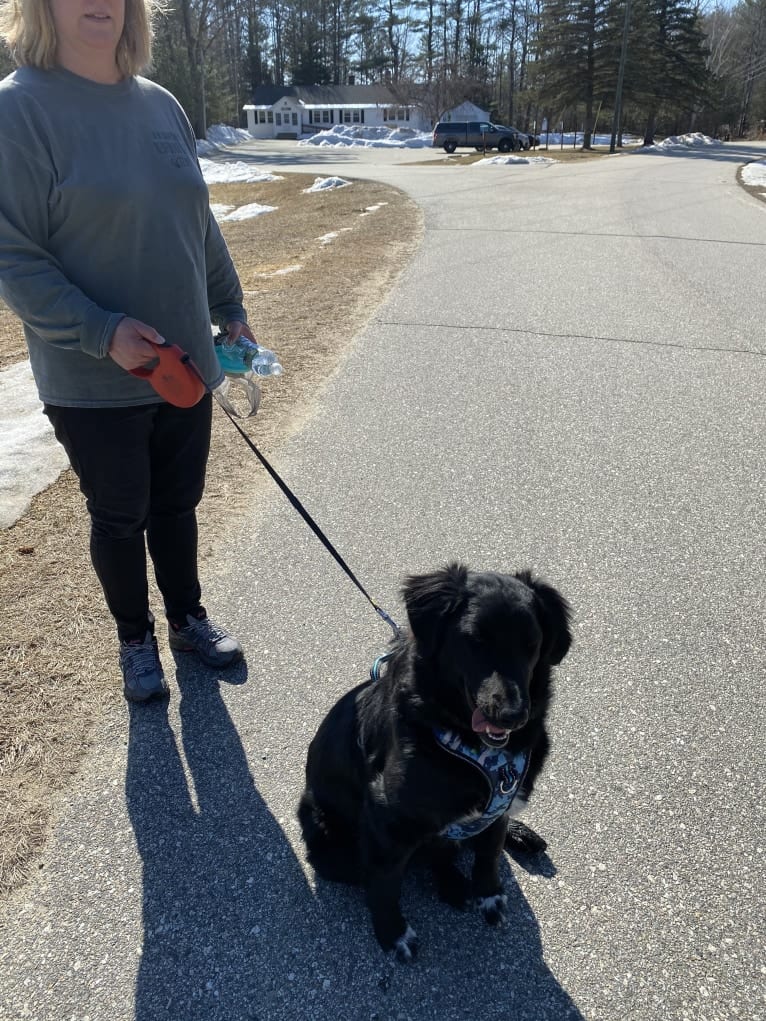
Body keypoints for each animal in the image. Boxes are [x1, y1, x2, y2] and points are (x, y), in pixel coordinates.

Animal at [296, 563, 571, 959]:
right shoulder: (387, 818)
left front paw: (488, 893)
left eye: (531, 643)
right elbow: (383, 884)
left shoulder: (499, 807)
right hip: (326, 834)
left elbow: (488, 853)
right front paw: (392, 933)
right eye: (475, 640)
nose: (512, 716)